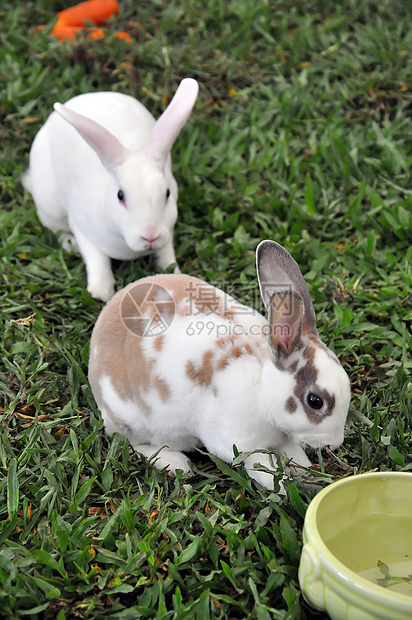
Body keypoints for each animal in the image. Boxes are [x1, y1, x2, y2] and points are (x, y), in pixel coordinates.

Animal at [22, 78, 200, 302]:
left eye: (167, 193)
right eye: (120, 196)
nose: (150, 236)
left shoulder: (167, 233)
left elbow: (166, 255)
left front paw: (174, 277)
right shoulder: (83, 228)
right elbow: (96, 259)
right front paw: (102, 292)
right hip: (50, 207)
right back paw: (70, 244)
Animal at [87, 240, 350, 486]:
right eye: (315, 401)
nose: (335, 443)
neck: (263, 389)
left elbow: (294, 456)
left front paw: (307, 475)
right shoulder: (242, 446)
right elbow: (265, 470)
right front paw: (287, 489)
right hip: (131, 421)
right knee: (131, 443)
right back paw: (176, 464)